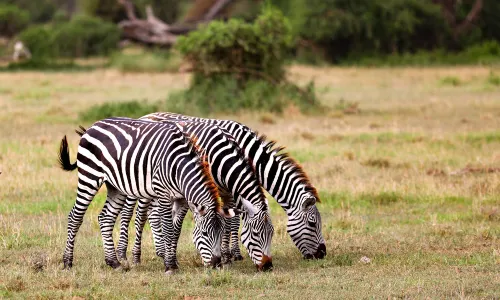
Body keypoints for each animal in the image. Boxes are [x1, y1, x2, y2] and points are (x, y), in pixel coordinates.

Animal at [58, 117, 234, 272]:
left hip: (116, 186)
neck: (179, 167)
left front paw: (173, 261)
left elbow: (176, 230)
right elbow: (168, 228)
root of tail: (92, 126)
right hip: (89, 176)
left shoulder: (181, 198)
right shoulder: (163, 194)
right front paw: (169, 266)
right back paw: (67, 262)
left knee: (105, 218)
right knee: (75, 217)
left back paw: (114, 263)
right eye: (205, 233)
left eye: (222, 232)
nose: (217, 264)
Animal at [116, 120, 274, 270]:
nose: (268, 267)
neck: (221, 161)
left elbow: (229, 222)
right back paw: (129, 255)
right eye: (256, 234)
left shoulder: (226, 194)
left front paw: (226, 257)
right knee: (136, 215)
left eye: (272, 234)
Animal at [141, 113, 328, 260]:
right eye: (312, 224)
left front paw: (232, 253)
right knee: (150, 213)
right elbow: (229, 220)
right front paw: (227, 254)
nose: (322, 254)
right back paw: (160, 251)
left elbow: (233, 220)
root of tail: (146, 116)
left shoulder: (232, 189)